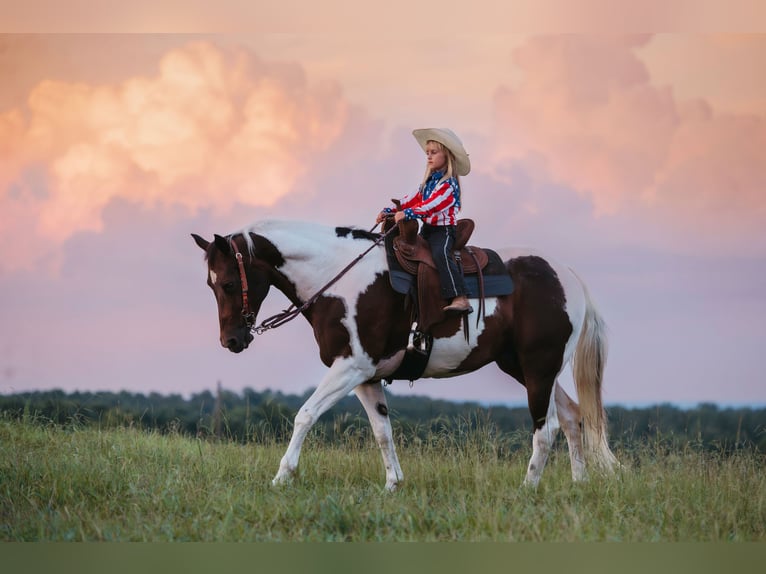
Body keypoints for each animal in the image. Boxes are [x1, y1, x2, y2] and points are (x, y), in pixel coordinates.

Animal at [195, 220, 620, 490]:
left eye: (229, 283)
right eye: (210, 285)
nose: (231, 340)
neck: (340, 279)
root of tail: (568, 277)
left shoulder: (350, 367)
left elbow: (305, 415)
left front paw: (282, 477)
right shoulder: (365, 377)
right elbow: (382, 431)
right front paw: (393, 484)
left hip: (538, 368)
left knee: (546, 428)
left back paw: (527, 488)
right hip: (525, 368)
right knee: (572, 417)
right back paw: (578, 484)